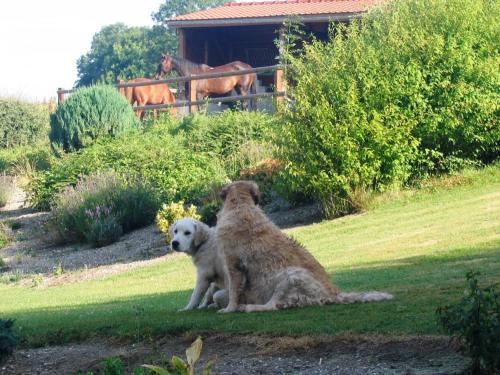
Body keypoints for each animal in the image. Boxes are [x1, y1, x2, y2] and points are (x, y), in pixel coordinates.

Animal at [217, 181, 392, 312]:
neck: (240, 205)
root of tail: (334, 294)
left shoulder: (233, 264)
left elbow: (233, 291)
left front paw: (229, 309)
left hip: (291, 275)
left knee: (273, 306)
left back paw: (250, 307)